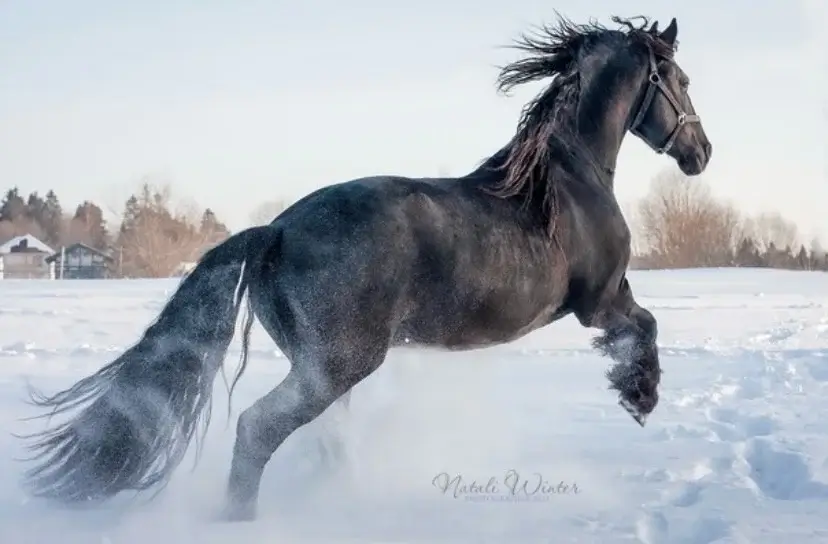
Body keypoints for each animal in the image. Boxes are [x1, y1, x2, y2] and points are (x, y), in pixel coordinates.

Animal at [22, 14, 712, 520]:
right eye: (678, 79)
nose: (701, 151)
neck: (565, 181)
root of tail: (273, 231)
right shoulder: (597, 302)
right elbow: (645, 327)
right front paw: (639, 396)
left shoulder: (608, 295)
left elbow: (645, 323)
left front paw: (636, 393)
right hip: (338, 365)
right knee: (257, 429)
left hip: (321, 365)